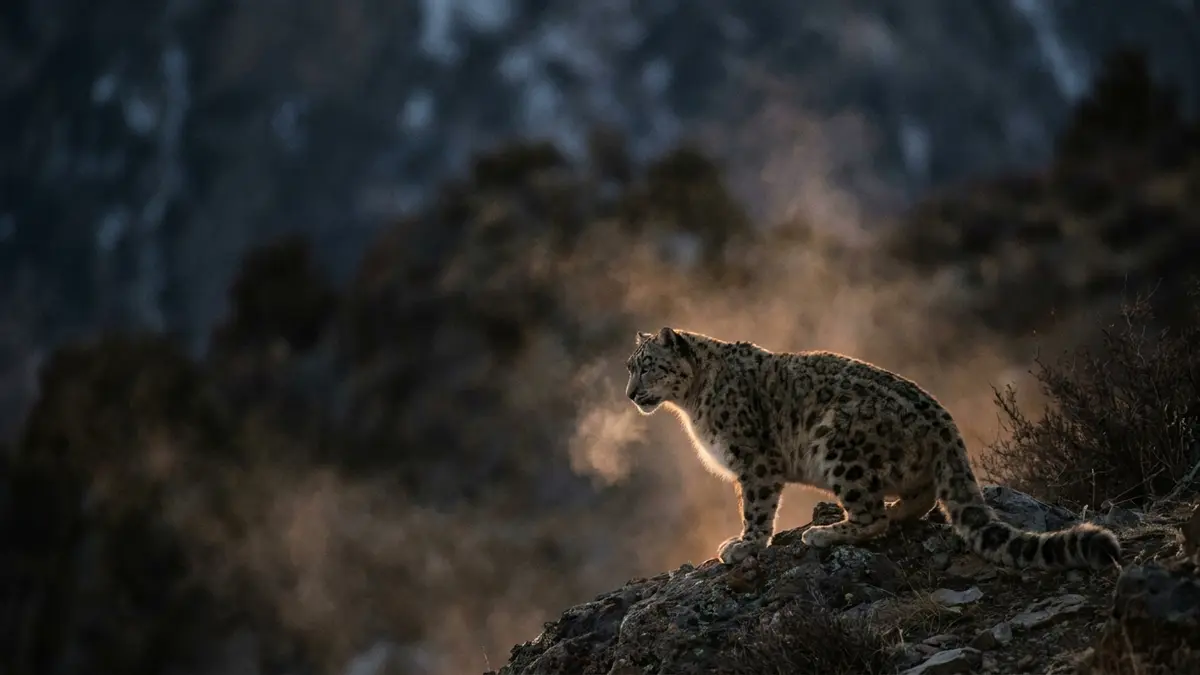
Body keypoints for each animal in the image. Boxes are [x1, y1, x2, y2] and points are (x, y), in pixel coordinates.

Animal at [624, 326, 1121, 570]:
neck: (692, 403)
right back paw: (893, 513)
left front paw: (743, 545)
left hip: (841, 447)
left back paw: (824, 532)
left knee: (872, 516)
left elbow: (757, 509)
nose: (630, 394)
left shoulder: (756, 462)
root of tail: (945, 424)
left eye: (647, 366)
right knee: (918, 499)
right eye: (630, 366)